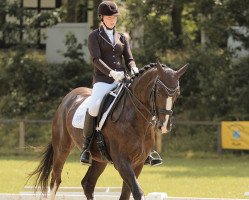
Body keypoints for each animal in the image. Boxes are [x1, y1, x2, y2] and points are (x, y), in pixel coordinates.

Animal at [28, 61, 187, 200]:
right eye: (159, 92)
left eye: (177, 94)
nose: (164, 126)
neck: (134, 118)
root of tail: (69, 96)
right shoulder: (122, 161)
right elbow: (137, 192)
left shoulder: (138, 163)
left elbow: (126, 193)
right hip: (62, 148)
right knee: (55, 180)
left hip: (100, 158)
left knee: (88, 183)